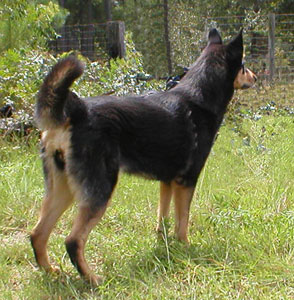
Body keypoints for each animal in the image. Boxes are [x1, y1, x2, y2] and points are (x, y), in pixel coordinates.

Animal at [29, 28, 255, 284]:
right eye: (243, 66)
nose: (256, 77)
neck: (199, 98)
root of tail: (76, 113)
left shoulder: (167, 181)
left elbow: (163, 219)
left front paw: (165, 246)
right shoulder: (186, 181)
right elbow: (182, 221)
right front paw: (186, 248)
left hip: (62, 189)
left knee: (38, 234)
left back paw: (51, 272)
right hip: (99, 190)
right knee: (72, 241)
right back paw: (93, 280)